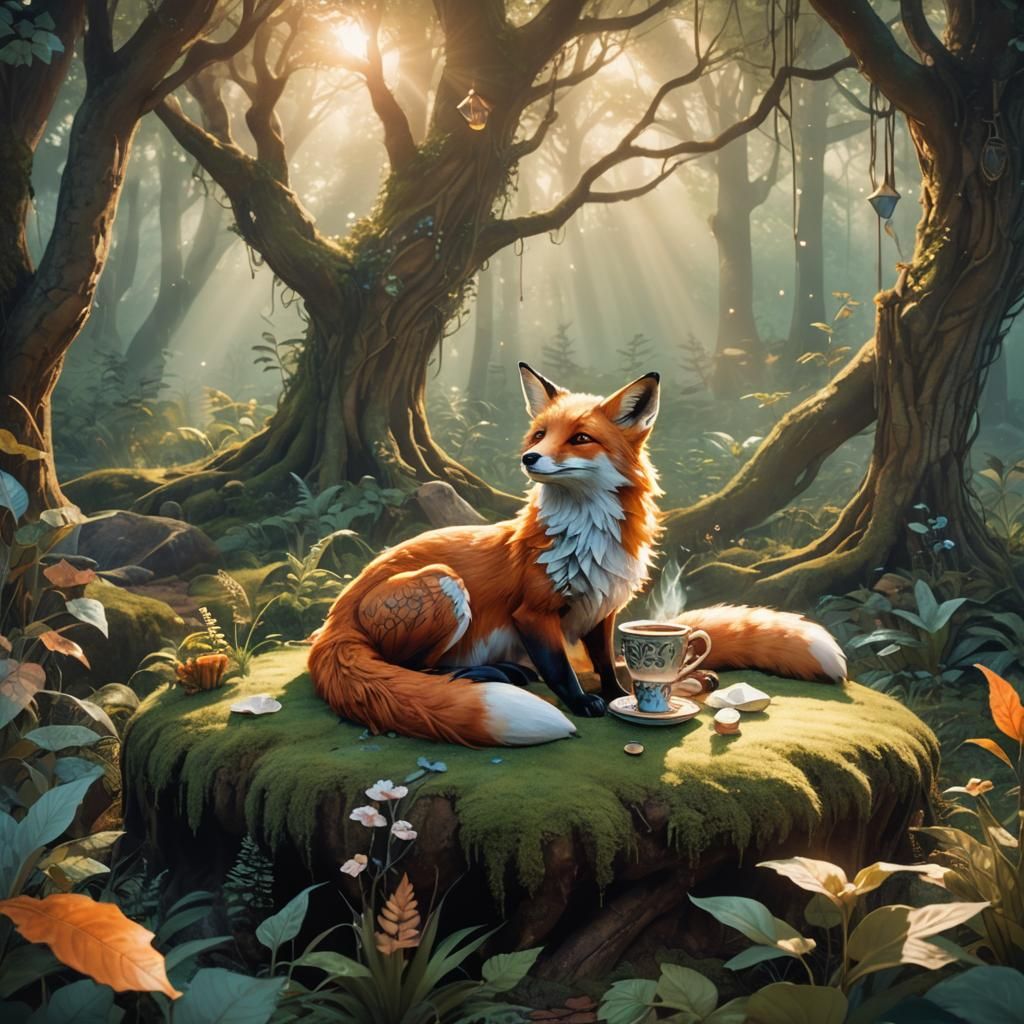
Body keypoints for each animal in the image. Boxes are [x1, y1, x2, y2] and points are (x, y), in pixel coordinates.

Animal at [308, 363, 846, 747]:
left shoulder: (602, 608)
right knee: (415, 669)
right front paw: (582, 703)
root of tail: (332, 618)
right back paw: (494, 675)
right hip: (443, 585)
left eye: (580, 438)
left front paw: (619, 697)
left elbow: (608, 664)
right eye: (538, 435)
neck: (586, 537)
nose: (528, 458)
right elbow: (561, 669)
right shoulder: (534, 613)